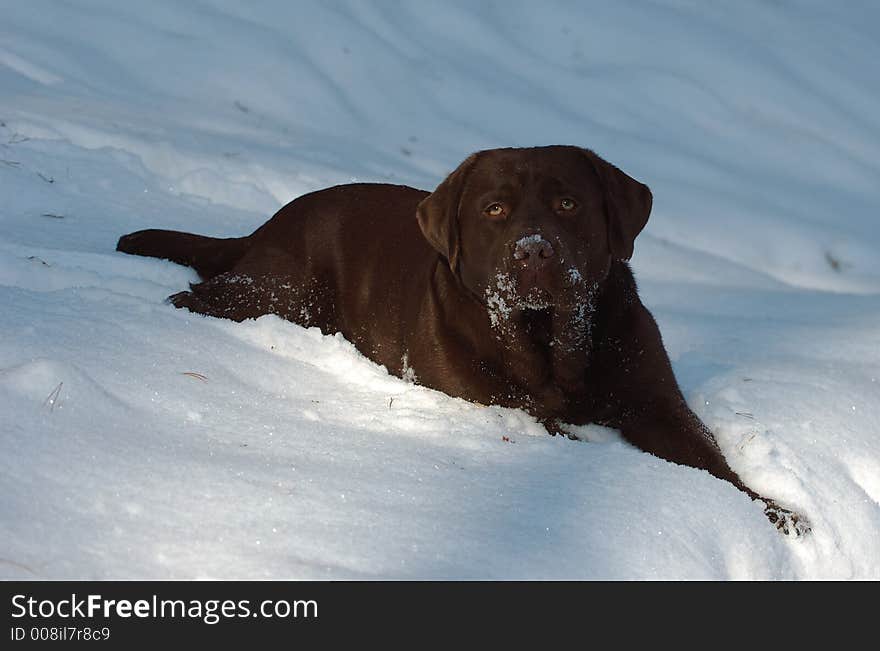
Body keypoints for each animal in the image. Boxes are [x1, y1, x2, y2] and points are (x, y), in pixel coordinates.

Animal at [120, 146, 808, 536]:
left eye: (567, 204)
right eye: (494, 210)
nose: (534, 252)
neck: (553, 343)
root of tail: (267, 224)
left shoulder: (656, 404)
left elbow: (714, 464)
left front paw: (779, 514)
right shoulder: (504, 407)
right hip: (283, 294)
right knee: (200, 296)